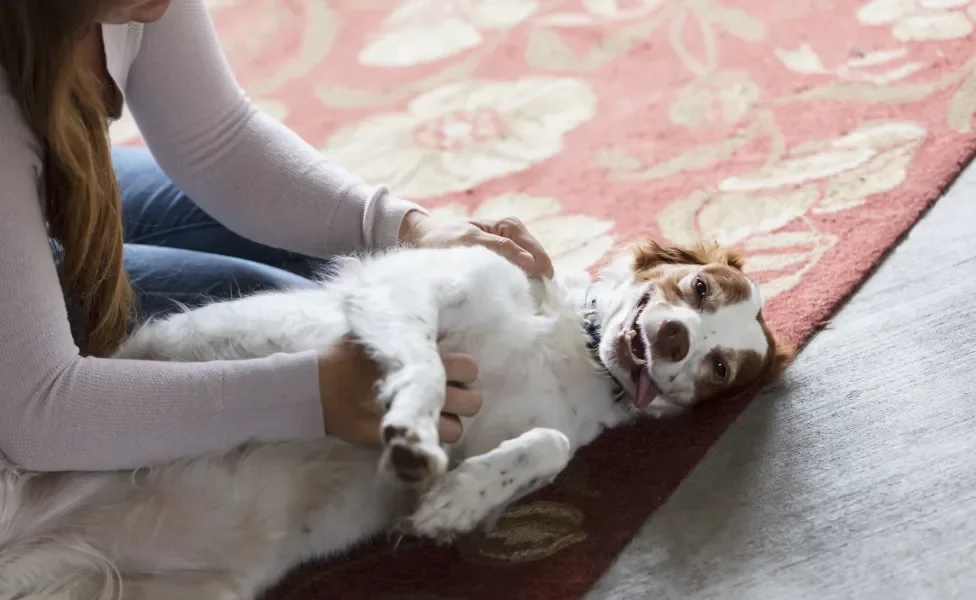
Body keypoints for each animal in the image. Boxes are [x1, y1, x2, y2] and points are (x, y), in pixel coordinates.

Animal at [0, 237, 792, 596]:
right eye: (698, 287)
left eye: (721, 370)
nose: (676, 341)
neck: (574, 347)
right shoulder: (410, 289)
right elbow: (428, 367)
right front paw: (411, 429)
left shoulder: (521, 429)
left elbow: (548, 444)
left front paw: (452, 502)